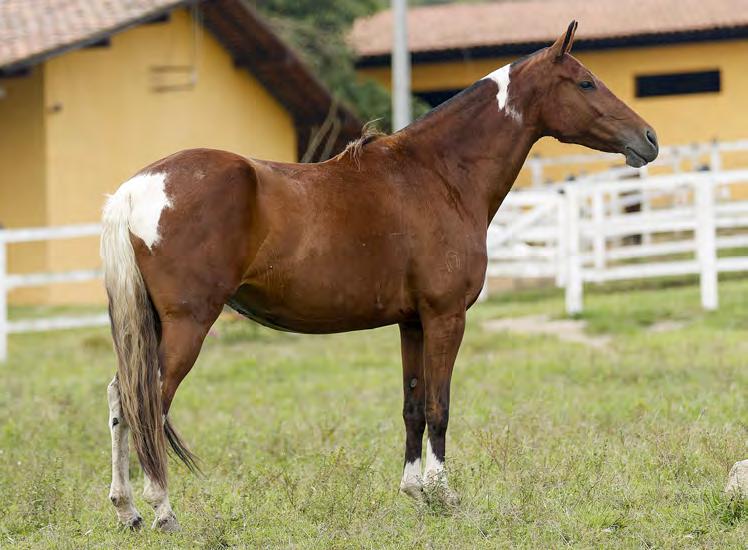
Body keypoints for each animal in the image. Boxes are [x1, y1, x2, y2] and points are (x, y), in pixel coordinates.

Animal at [103, 22, 656, 536]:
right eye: (585, 82)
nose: (649, 139)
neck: (438, 174)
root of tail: (136, 189)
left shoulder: (411, 322)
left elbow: (412, 405)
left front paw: (415, 492)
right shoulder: (445, 317)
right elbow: (439, 404)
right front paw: (444, 494)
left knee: (120, 399)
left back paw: (127, 510)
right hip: (188, 325)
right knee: (147, 403)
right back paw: (162, 511)